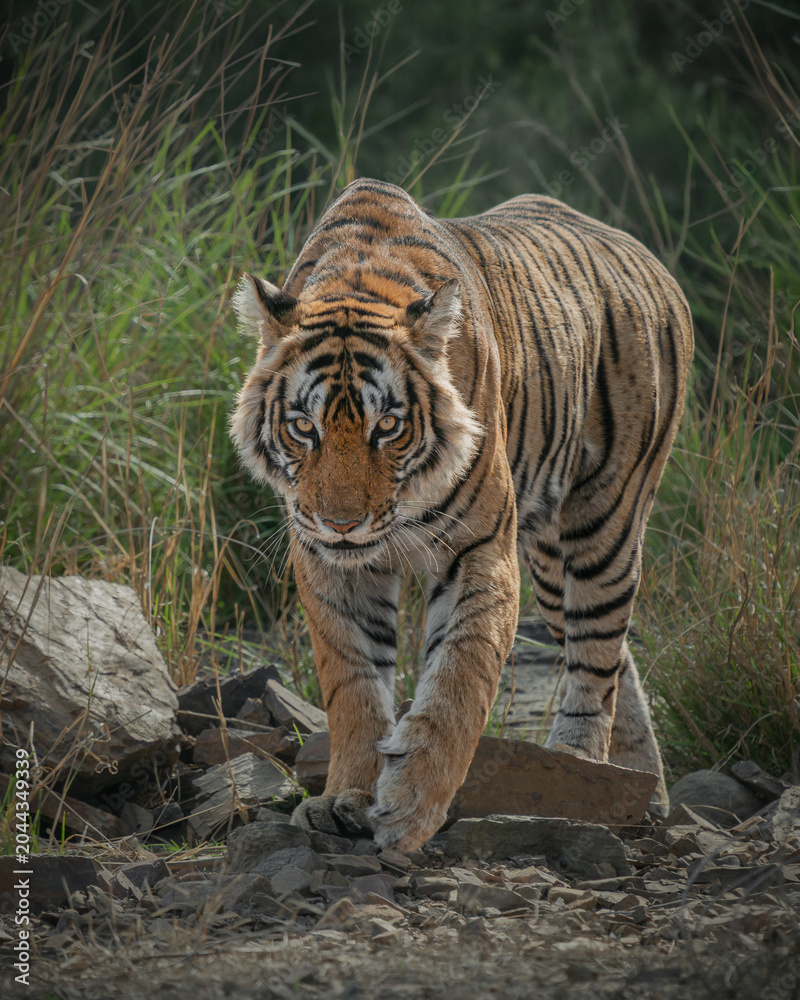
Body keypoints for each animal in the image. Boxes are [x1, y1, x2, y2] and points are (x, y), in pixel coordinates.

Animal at [231, 177, 693, 852]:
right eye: (303, 427)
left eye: (387, 427)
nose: (342, 523)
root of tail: (646, 256)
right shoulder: (327, 561)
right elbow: (353, 685)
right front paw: (345, 797)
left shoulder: (479, 549)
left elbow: (460, 675)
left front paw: (410, 806)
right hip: (549, 561)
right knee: (614, 657)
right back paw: (643, 788)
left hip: (603, 520)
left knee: (596, 653)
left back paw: (581, 770)